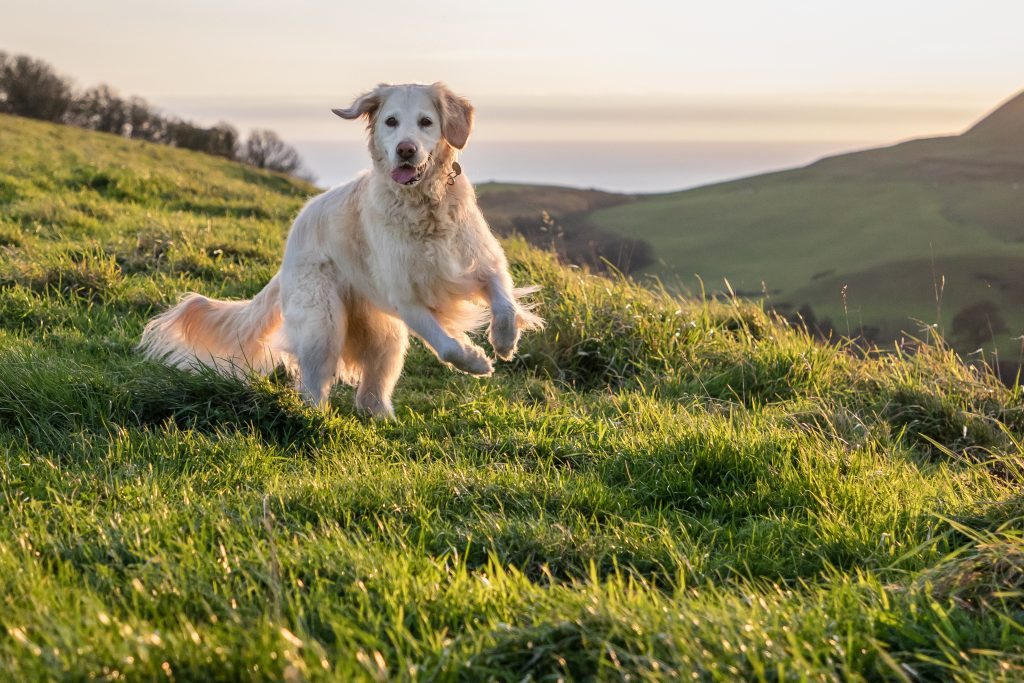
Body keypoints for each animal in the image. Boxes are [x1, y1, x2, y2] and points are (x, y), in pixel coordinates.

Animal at [143, 83, 548, 417]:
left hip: (387, 339)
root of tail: (293, 238)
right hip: (323, 325)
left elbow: (504, 304)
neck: (426, 206)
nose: (405, 149)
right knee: (313, 384)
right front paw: (474, 361)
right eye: (391, 122)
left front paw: (504, 342)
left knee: (371, 393)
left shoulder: (483, 263)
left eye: (426, 122)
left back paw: (383, 420)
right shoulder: (407, 299)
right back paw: (318, 422)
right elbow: (446, 346)